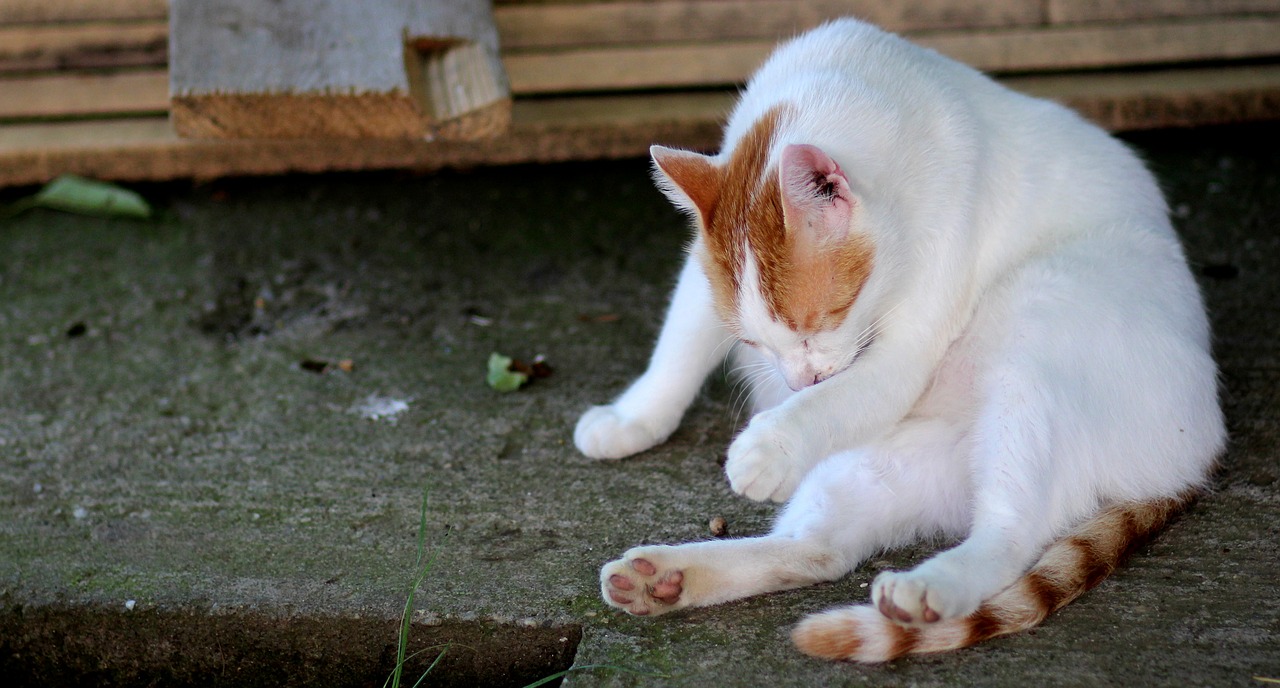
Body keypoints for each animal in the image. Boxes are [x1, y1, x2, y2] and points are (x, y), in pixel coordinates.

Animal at [576, 17, 1223, 659]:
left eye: (821, 321)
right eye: (756, 343)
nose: (798, 382)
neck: (845, 84)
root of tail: (1196, 455)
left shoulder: (906, 345)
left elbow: (836, 399)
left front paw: (770, 445)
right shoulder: (701, 279)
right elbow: (679, 344)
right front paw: (634, 417)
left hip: (1042, 319)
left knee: (1010, 531)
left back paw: (930, 587)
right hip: (876, 468)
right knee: (821, 551)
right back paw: (667, 578)